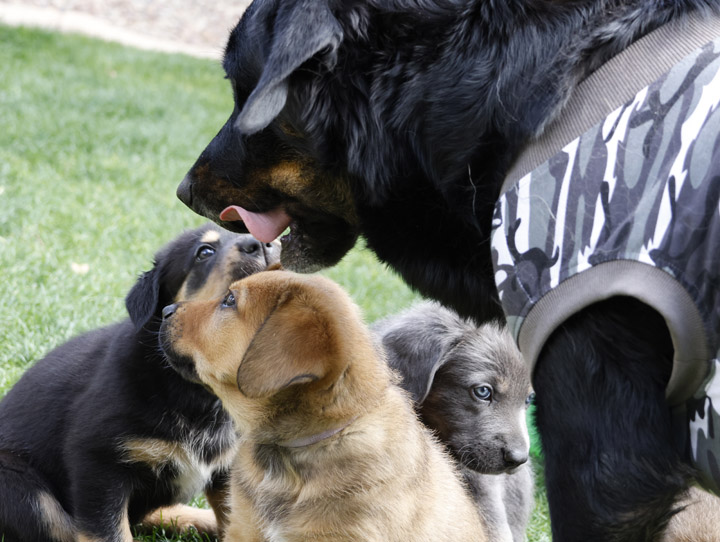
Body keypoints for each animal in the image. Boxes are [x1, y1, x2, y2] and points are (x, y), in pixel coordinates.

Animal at [0, 225, 280, 542]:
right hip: (23, 488)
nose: (262, 243)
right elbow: (110, 532)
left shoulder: (229, 469)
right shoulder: (96, 464)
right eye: (204, 252)